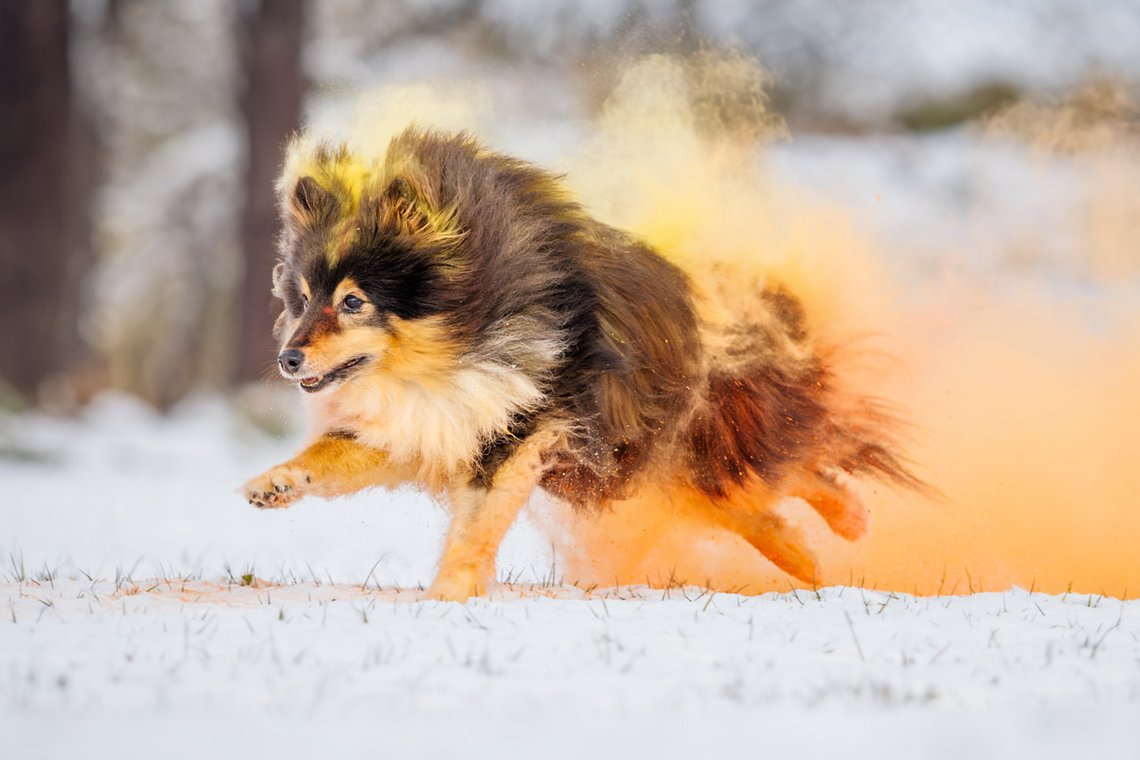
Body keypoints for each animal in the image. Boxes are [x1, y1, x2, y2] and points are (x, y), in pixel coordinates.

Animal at [242, 127, 925, 601]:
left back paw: (851, 521)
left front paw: (450, 593)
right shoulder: (438, 420)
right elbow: (333, 453)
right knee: (754, 502)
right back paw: (808, 558)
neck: (461, 343)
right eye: (302, 298)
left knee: (794, 465)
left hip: (697, 439)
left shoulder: (521, 425)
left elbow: (477, 525)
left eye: (353, 302)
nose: (286, 357)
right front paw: (273, 484)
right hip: (652, 464)